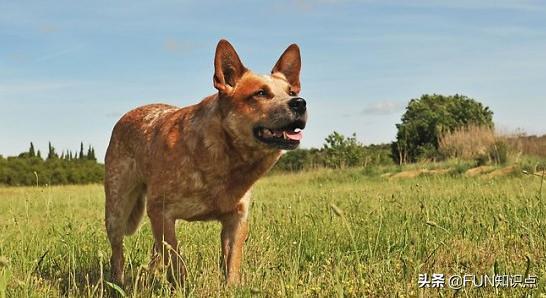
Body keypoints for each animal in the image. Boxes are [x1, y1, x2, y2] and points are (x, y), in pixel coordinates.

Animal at [103, 39, 306, 286]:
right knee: (118, 251)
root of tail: (127, 115)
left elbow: (232, 263)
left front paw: (232, 287)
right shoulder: (161, 212)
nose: (300, 103)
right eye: (260, 93)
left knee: (155, 249)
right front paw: (181, 287)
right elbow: (177, 262)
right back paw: (117, 282)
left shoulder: (236, 219)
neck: (228, 161)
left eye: (291, 92)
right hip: (116, 210)